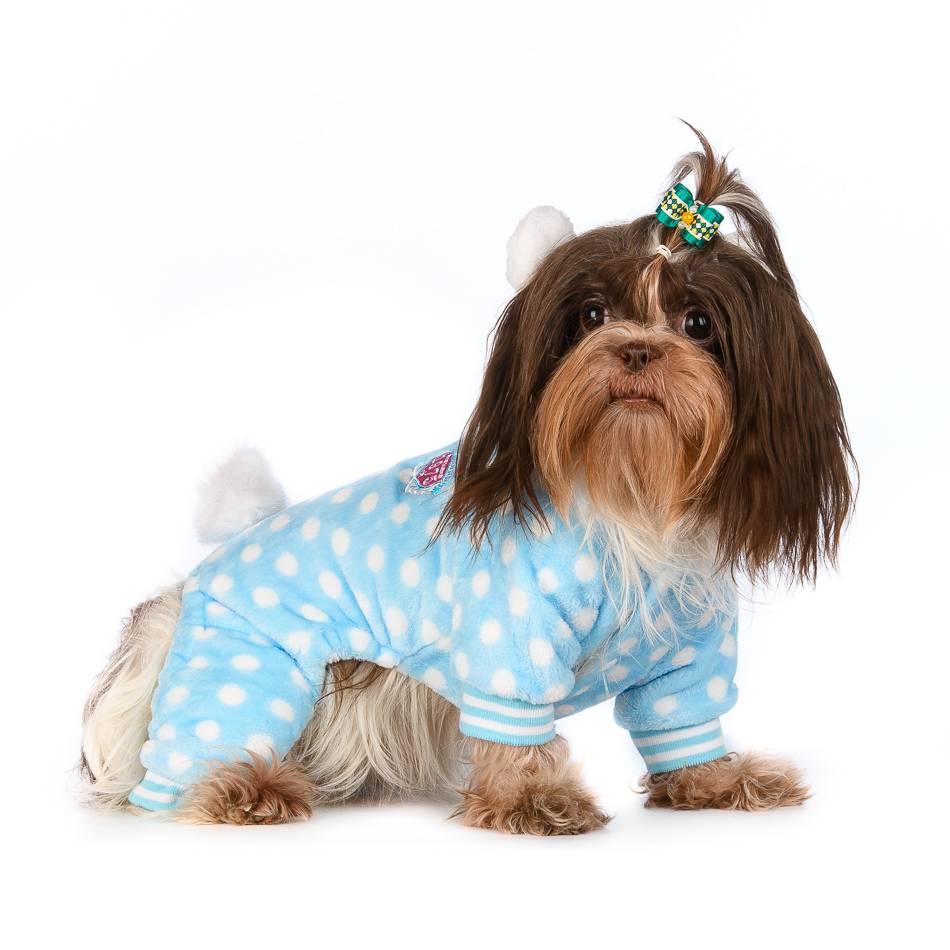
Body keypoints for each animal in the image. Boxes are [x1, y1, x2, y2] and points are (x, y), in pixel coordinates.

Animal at [80, 128, 854, 833]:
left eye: (697, 322)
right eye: (592, 316)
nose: (637, 350)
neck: (626, 496)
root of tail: (189, 585)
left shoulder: (687, 659)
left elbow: (684, 726)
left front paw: (717, 782)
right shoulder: (512, 643)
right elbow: (517, 736)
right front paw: (532, 799)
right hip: (251, 664)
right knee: (189, 763)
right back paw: (244, 789)